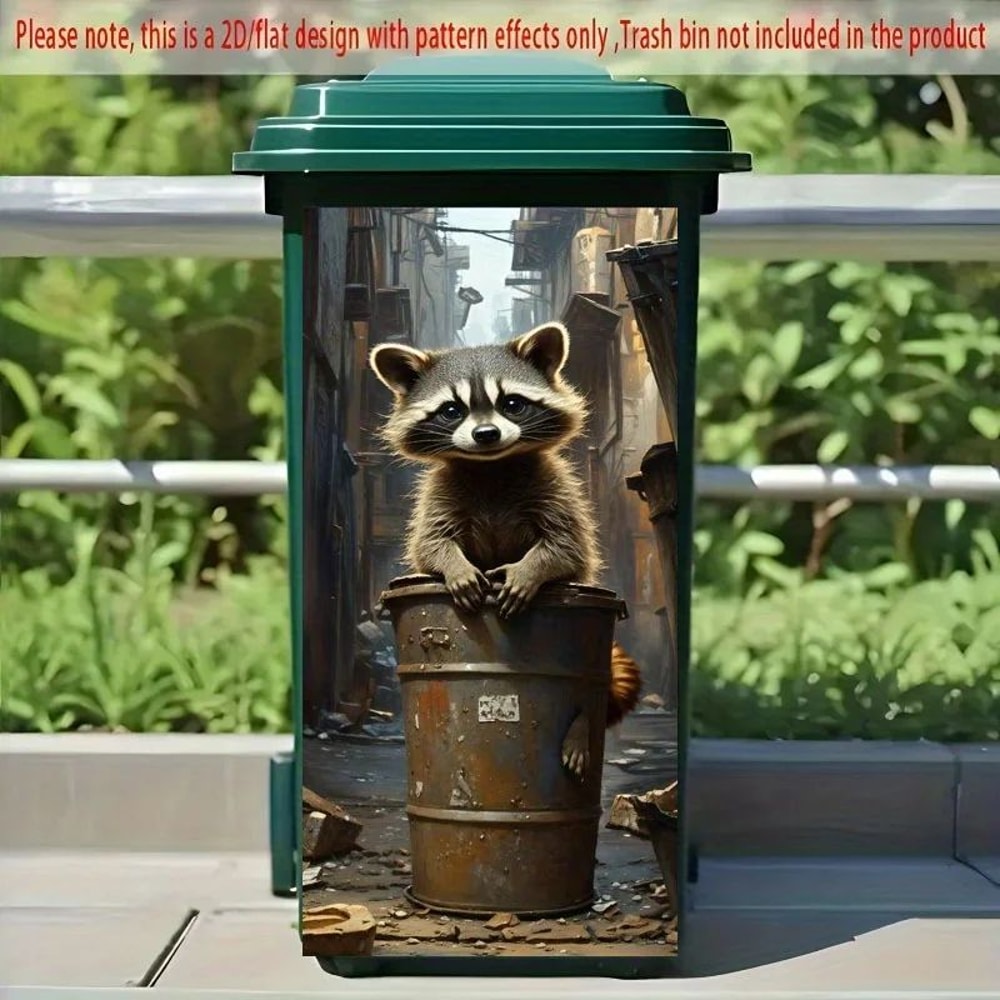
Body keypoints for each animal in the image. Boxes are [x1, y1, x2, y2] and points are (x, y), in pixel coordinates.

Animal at [370, 321, 641, 779]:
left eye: (512, 404)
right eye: (451, 410)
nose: (486, 435)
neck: (490, 465)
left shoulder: (554, 487)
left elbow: (566, 547)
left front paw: (529, 569)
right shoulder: (441, 494)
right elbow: (430, 544)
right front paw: (455, 566)